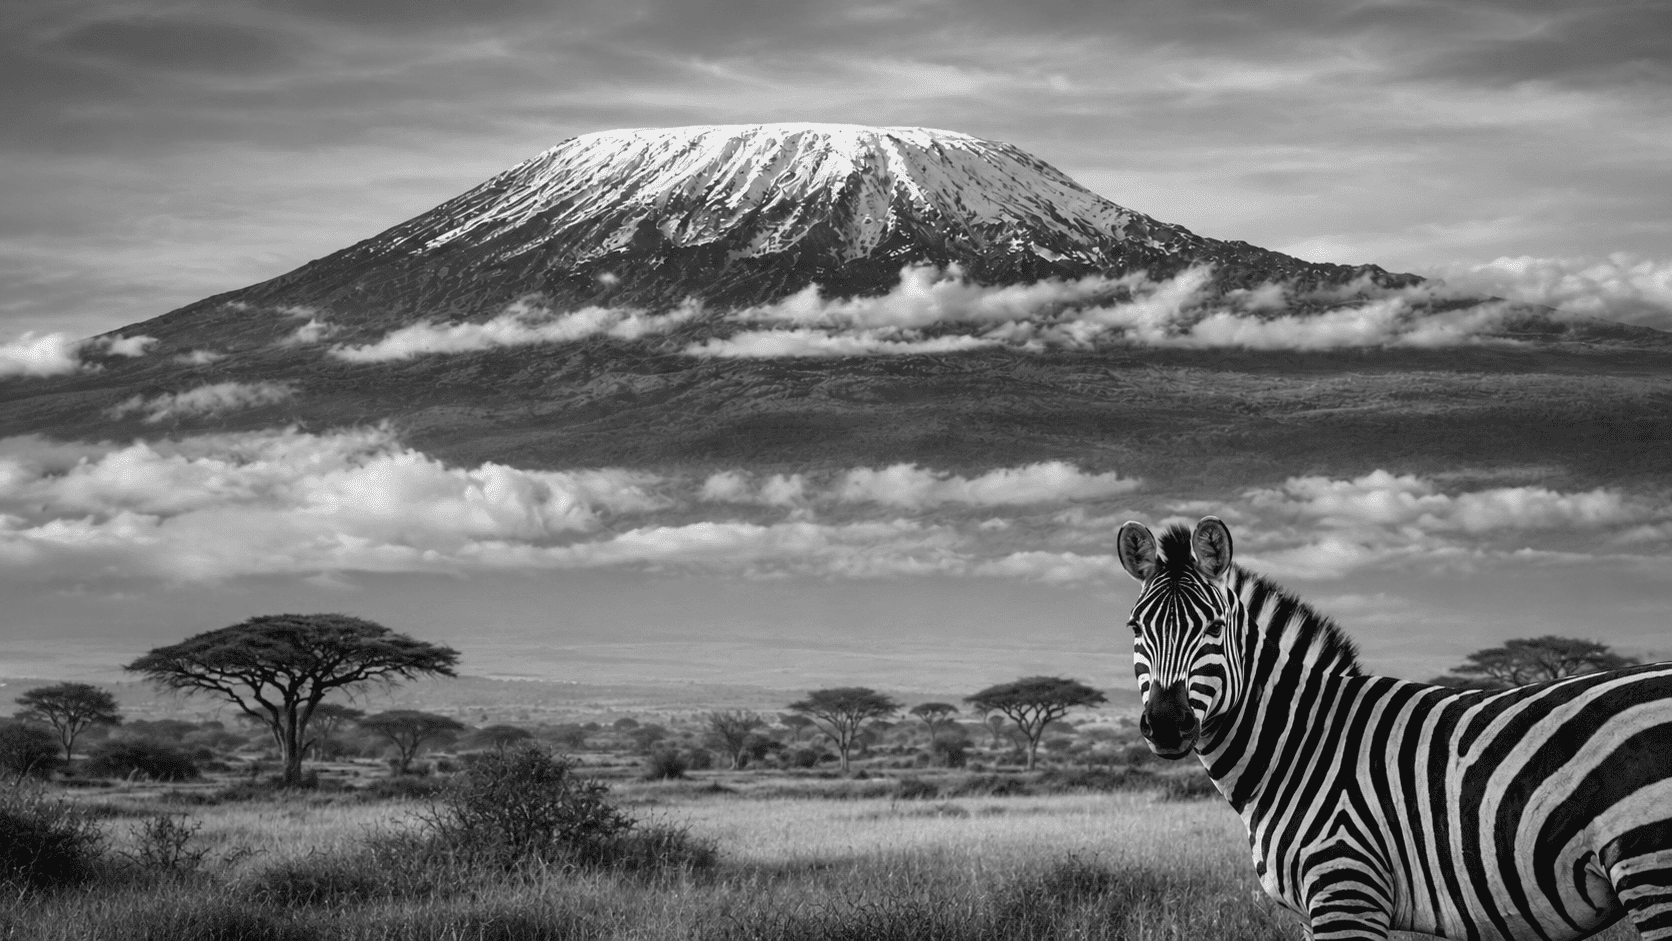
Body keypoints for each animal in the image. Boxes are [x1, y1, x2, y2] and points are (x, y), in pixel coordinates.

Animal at [1116, 515, 1672, 941]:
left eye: (1214, 627)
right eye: (1136, 628)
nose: (1166, 726)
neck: (1298, 744)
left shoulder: (1347, 888)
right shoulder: (1316, 910)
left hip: (1652, 862)